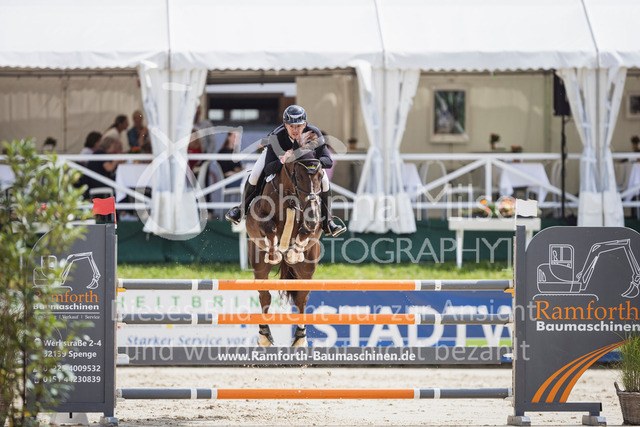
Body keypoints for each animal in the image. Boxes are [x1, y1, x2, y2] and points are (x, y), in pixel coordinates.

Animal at [245, 152, 324, 347]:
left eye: (320, 177)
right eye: (299, 177)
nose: (313, 216)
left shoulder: (314, 224)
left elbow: (307, 230)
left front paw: (294, 252)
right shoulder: (259, 220)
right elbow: (270, 227)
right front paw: (274, 253)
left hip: (307, 269)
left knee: (301, 299)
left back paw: (300, 338)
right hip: (259, 265)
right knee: (265, 296)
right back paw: (264, 336)